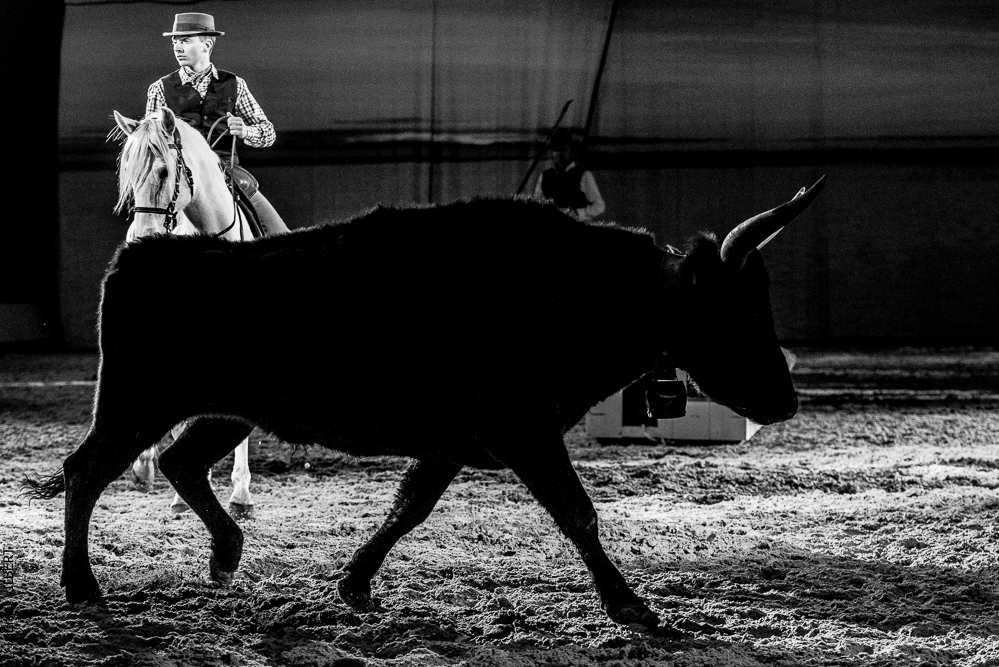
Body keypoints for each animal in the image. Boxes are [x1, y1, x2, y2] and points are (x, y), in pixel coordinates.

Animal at [113, 106, 258, 518]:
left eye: (164, 172)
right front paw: (182, 493)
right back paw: (144, 465)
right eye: (126, 174)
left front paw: (241, 494)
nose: (139, 239)